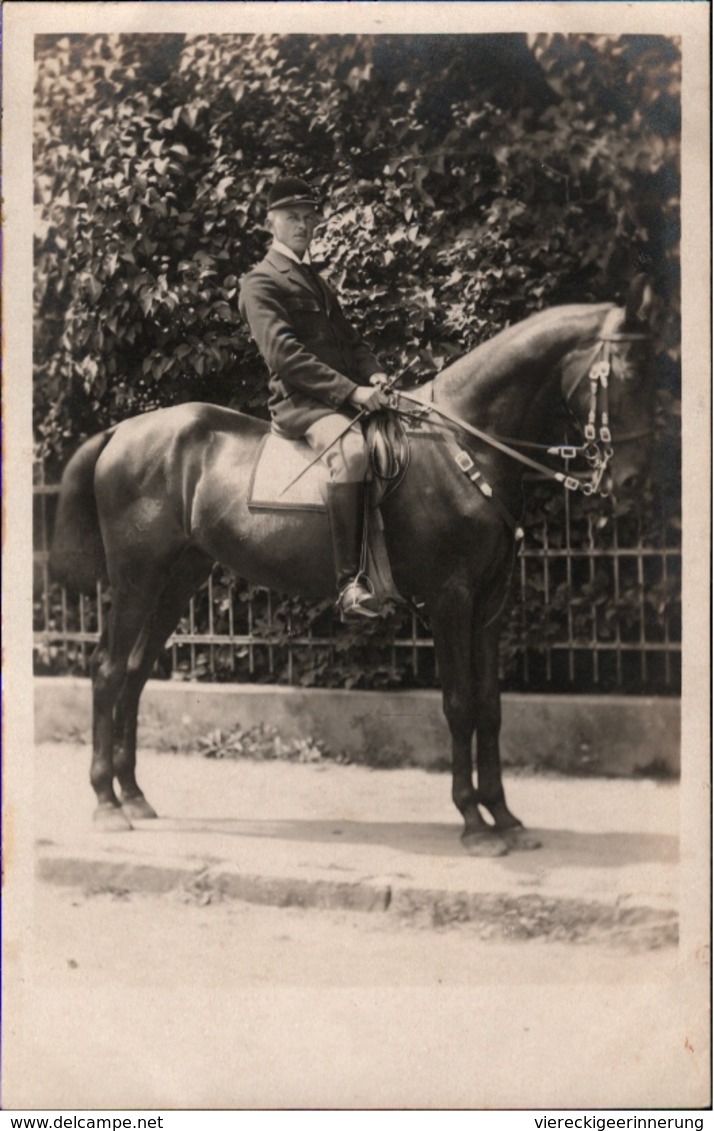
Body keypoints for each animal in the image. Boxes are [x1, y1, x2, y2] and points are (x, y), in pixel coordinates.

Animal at [47, 278, 656, 850]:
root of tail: (121, 432)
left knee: (134, 672)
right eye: (625, 372)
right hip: (136, 579)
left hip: (178, 579)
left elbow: (490, 706)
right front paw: (473, 822)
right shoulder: (451, 599)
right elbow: (459, 704)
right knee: (106, 670)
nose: (632, 480)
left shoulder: (489, 604)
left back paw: (133, 794)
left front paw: (503, 816)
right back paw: (107, 802)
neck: (462, 444)